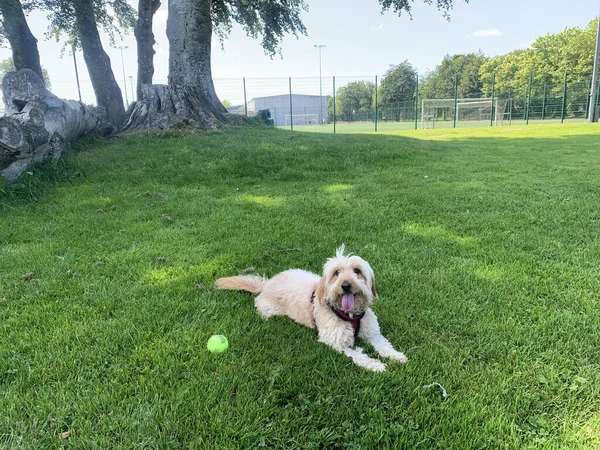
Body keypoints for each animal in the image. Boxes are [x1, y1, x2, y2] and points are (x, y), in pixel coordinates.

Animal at [216, 244, 408, 370]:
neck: (349, 314)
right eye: (336, 273)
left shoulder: (372, 333)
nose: (346, 285)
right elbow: (359, 355)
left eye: (357, 271)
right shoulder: (336, 341)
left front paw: (397, 356)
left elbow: (384, 345)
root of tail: (267, 283)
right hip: (270, 310)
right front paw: (375, 365)